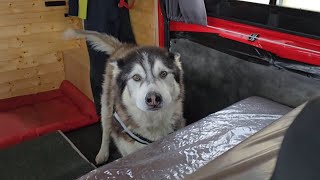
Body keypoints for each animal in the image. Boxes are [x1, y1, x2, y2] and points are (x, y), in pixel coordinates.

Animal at [64, 28, 185, 165]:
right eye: (136, 77)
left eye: (163, 73)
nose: (153, 98)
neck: (151, 121)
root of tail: (124, 47)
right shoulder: (126, 148)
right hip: (106, 106)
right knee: (106, 129)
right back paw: (103, 153)